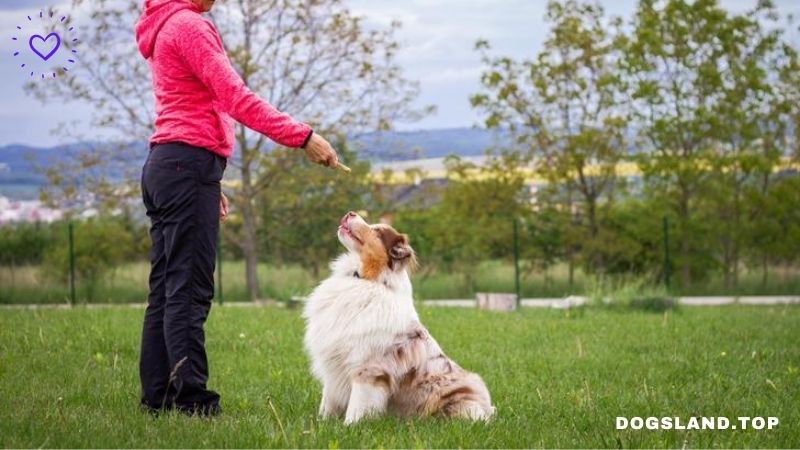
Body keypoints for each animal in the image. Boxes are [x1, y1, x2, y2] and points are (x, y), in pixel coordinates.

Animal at [304, 213, 494, 424]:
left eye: (377, 231)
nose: (349, 213)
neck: (368, 280)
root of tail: (488, 409)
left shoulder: (368, 368)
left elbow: (358, 405)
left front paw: (350, 426)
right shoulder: (334, 364)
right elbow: (328, 401)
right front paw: (321, 423)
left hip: (460, 402)